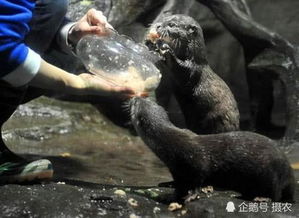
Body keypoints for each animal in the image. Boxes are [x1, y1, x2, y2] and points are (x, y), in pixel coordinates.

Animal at [129, 97, 296, 203]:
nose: (134, 98)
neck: (170, 141)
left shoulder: (195, 162)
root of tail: (288, 171)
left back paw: (262, 198)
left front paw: (191, 196)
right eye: (144, 100)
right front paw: (170, 196)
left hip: (270, 175)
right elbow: (180, 186)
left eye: (136, 104)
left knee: (276, 194)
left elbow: (198, 180)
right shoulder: (177, 171)